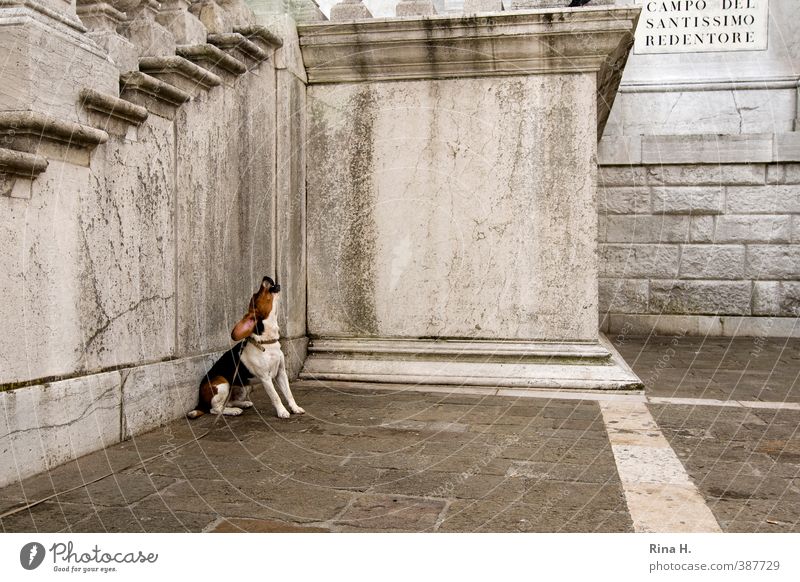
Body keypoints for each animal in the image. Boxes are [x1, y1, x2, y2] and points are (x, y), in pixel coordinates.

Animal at [186, 278, 304, 420]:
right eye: (256, 295)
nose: (266, 277)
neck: (266, 342)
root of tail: (201, 403)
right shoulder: (266, 378)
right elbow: (276, 396)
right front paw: (282, 411)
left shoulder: (281, 372)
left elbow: (289, 394)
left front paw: (295, 408)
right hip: (222, 384)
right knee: (215, 409)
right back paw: (233, 411)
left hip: (245, 387)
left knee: (228, 403)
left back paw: (243, 404)